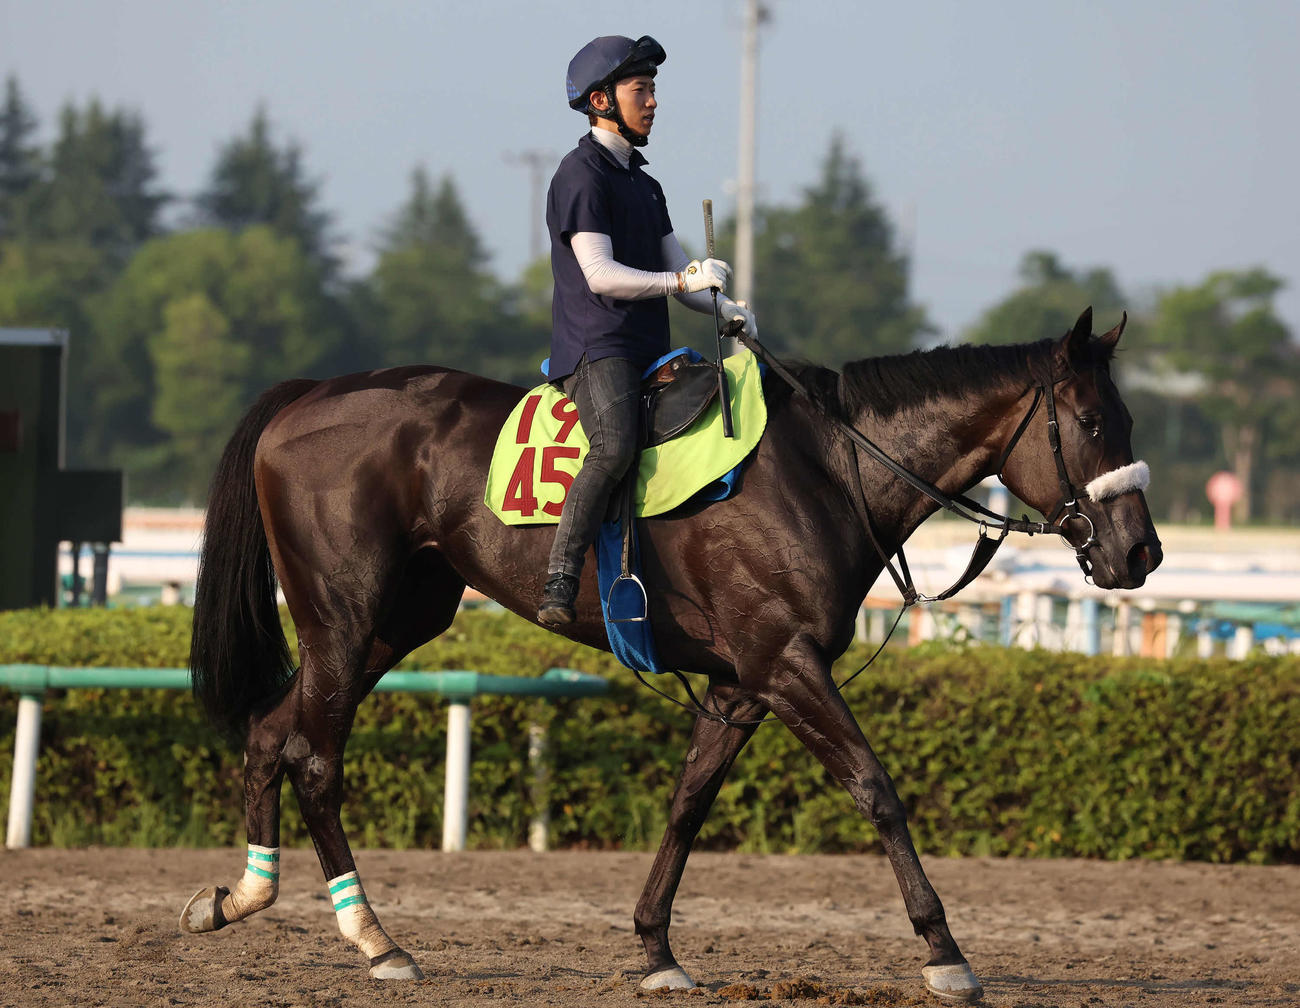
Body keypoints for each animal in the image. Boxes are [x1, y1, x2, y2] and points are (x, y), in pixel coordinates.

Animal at [179, 307, 1161, 1002]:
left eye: (1127, 418)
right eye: (1090, 421)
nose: (1141, 553)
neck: (826, 467)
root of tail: (308, 394)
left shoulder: (740, 686)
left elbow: (688, 806)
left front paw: (656, 947)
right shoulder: (786, 664)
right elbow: (875, 788)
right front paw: (945, 952)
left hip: (397, 619)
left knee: (269, 733)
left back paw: (241, 897)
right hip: (344, 617)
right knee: (315, 756)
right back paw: (376, 939)